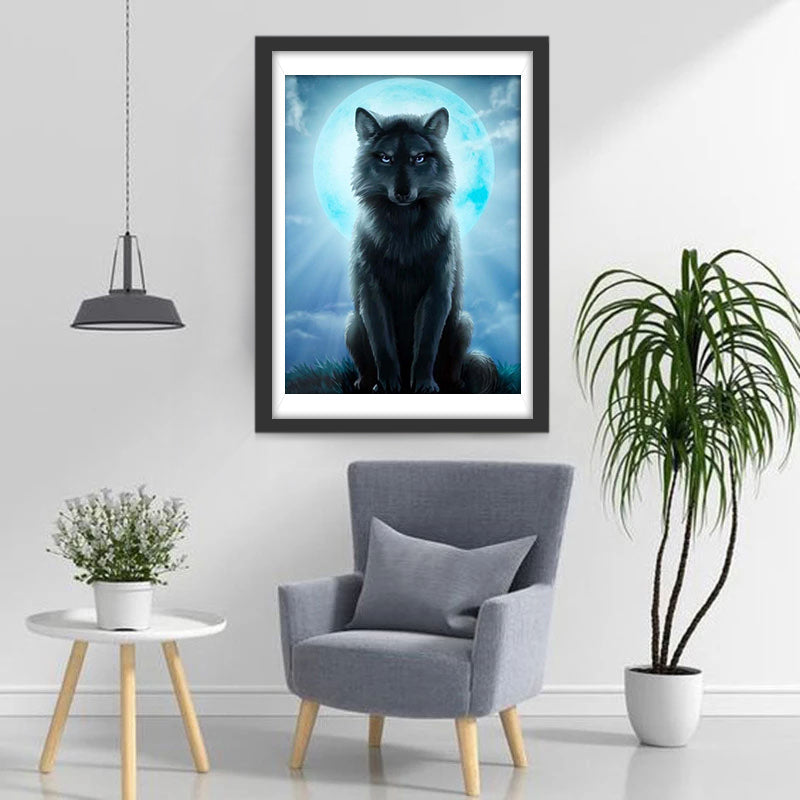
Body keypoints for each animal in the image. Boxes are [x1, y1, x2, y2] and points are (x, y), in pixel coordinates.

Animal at [344, 105, 497, 393]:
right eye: (386, 158)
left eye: (419, 158)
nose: (403, 193)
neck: (403, 231)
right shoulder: (372, 292)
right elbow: (383, 345)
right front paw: (387, 385)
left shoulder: (437, 291)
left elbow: (426, 345)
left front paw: (424, 385)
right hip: (351, 325)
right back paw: (364, 382)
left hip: (464, 324)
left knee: (453, 373)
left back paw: (453, 384)